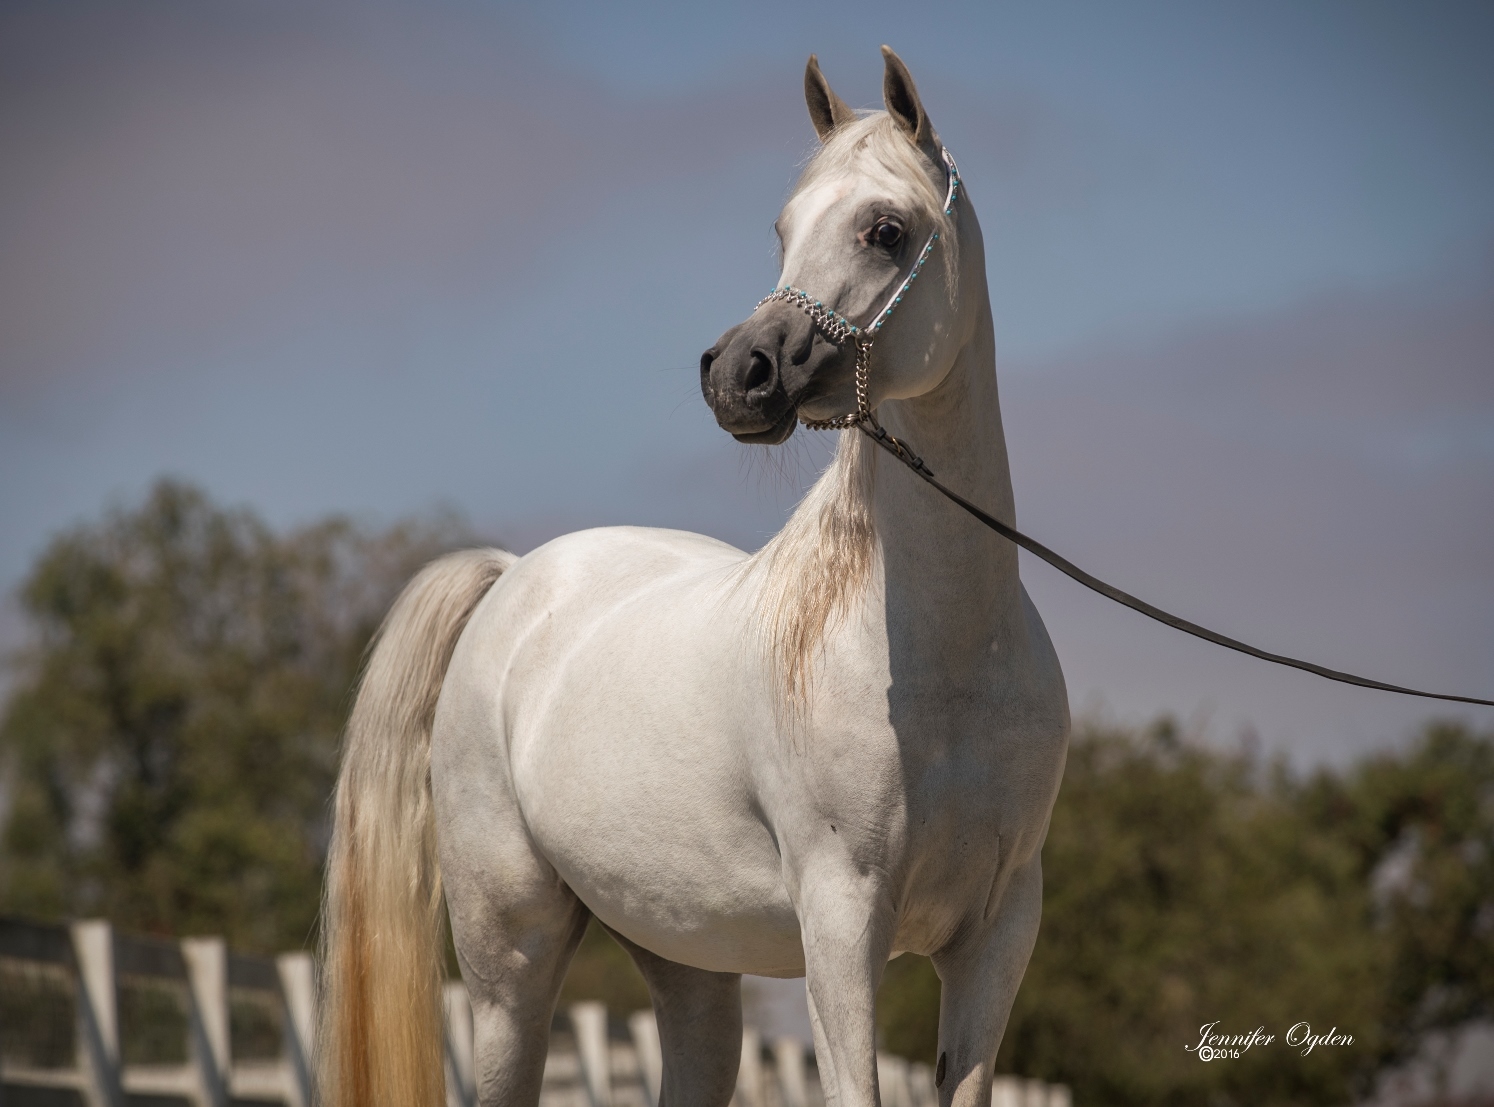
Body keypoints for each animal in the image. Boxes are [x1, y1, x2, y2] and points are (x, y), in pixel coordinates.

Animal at [319, 47, 1070, 1107]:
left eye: (885, 229)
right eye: (783, 229)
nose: (739, 373)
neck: (945, 657)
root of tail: (512, 580)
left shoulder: (997, 936)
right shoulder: (843, 919)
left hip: (685, 958)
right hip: (509, 962)